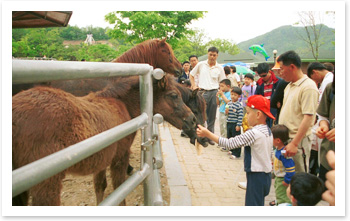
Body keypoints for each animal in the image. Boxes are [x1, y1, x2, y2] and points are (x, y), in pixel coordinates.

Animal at [11, 74, 197, 205]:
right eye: (174, 95)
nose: (193, 121)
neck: (122, 104)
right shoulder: (119, 157)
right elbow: (119, 190)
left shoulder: (101, 159)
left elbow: (100, 186)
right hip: (46, 184)